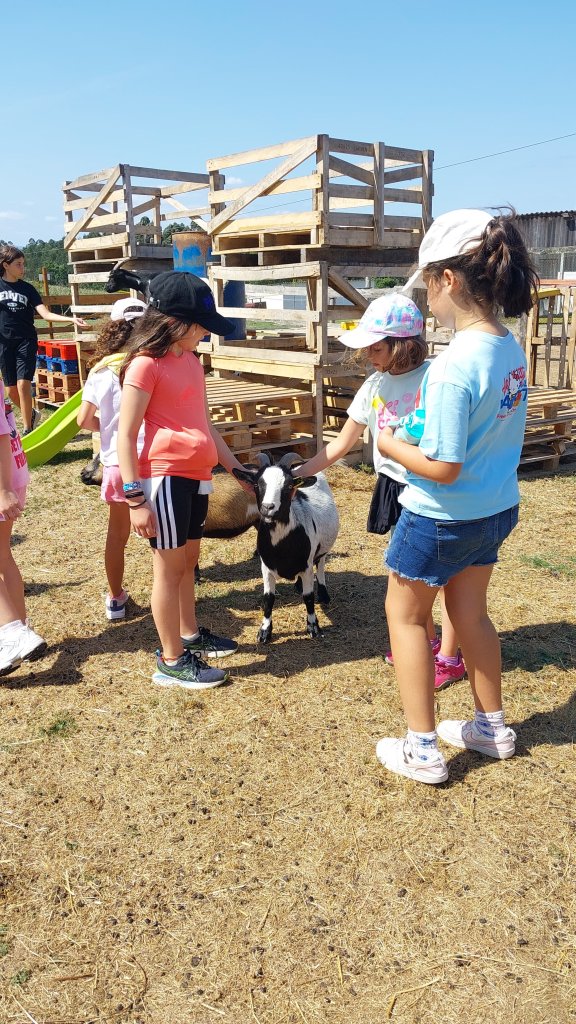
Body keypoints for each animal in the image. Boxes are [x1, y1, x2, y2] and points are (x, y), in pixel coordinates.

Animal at [233, 452, 339, 644]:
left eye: (289, 485)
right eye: (256, 484)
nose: (268, 507)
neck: (281, 547)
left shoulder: (306, 565)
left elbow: (308, 598)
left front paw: (313, 627)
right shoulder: (266, 567)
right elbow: (268, 599)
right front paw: (264, 632)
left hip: (322, 549)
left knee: (320, 564)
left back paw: (324, 594)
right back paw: (298, 585)